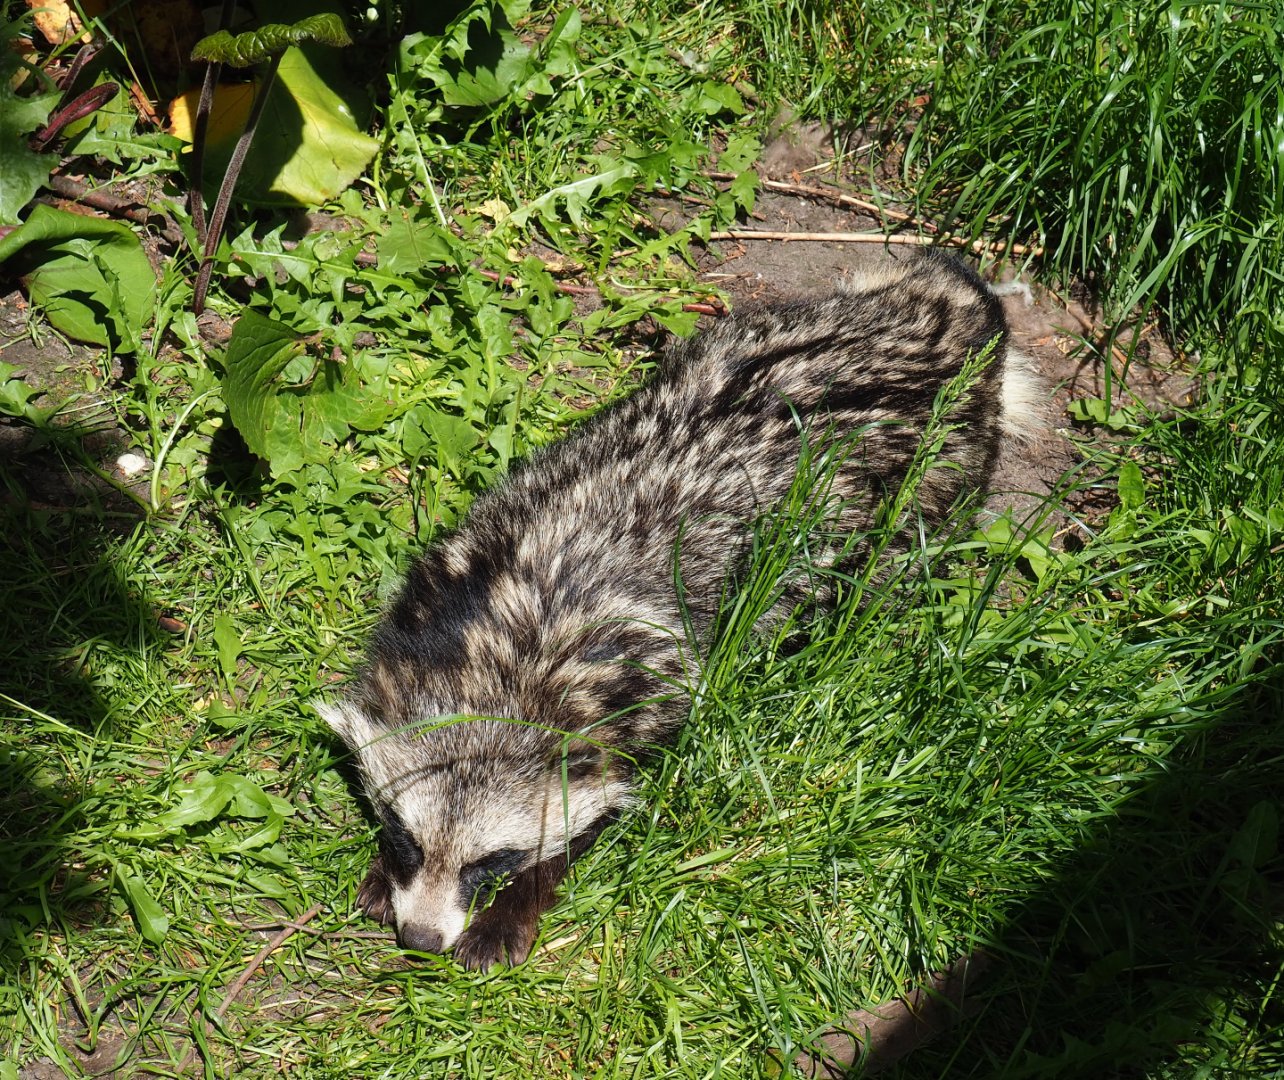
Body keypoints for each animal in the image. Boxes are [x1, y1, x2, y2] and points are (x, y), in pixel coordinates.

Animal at [319, 250, 1037, 972]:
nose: (420, 939)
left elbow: (616, 798)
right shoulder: (450, 578)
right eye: (406, 837)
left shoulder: (656, 684)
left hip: (928, 491)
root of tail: (946, 315)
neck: (513, 654)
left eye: (494, 861)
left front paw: (518, 903)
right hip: (751, 333)